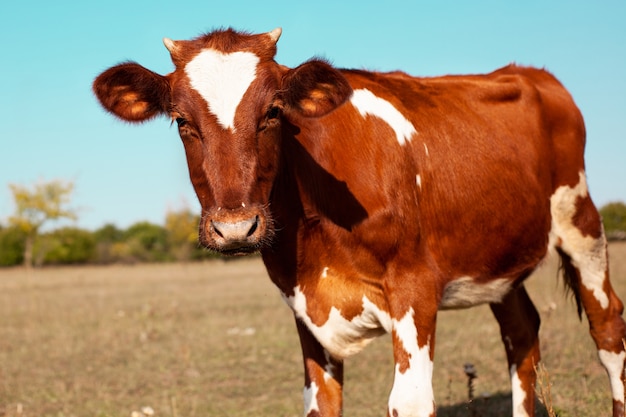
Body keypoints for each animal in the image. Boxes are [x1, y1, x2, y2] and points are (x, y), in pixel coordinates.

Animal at [94, 27, 624, 414]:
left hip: (582, 221)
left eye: (273, 112)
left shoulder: (414, 289)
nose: (235, 228)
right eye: (182, 121)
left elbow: (410, 401)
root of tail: (529, 73)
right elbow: (321, 403)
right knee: (522, 334)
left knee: (608, 328)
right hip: (498, 258)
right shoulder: (304, 305)